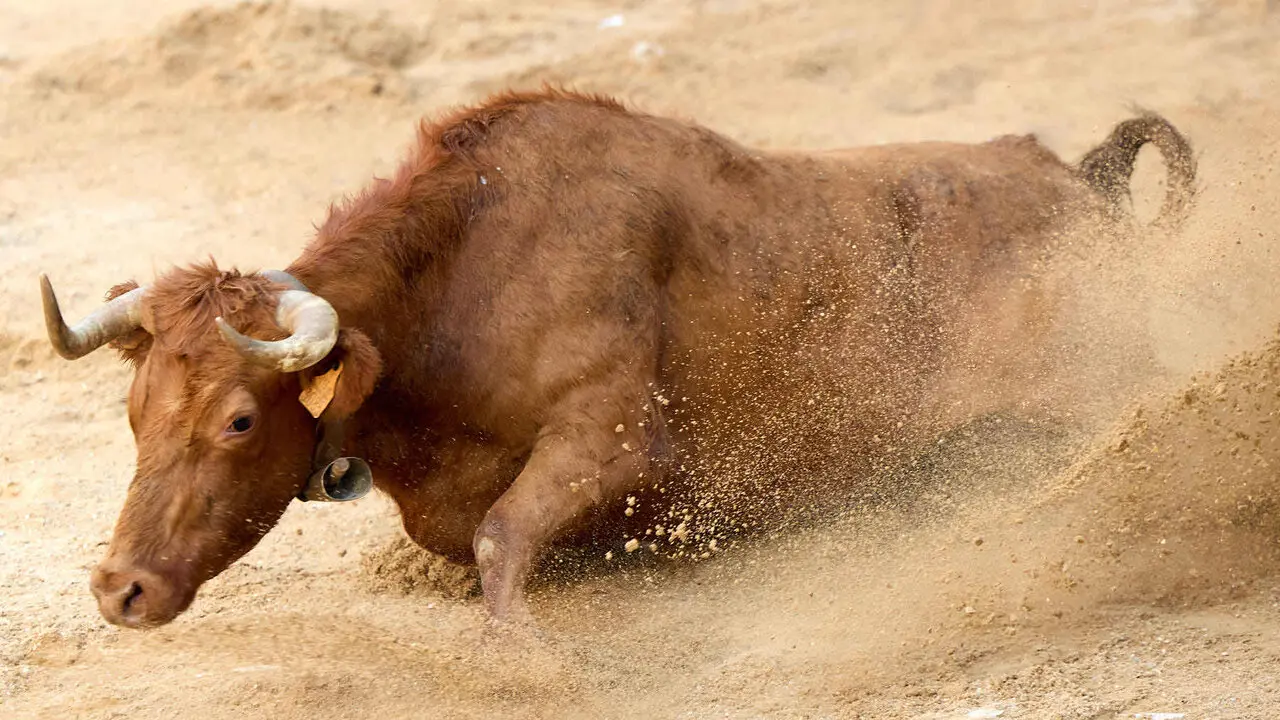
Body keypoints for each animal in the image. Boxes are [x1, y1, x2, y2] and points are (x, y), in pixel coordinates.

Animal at [40, 89, 1195, 629]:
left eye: (239, 420)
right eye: (134, 411)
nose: (119, 589)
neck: (456, 280)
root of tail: (1081, 186)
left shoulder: (614, 438)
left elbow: (504, 542)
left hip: (1092, 393)